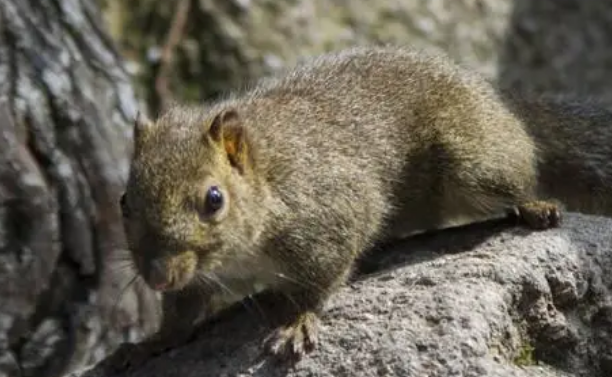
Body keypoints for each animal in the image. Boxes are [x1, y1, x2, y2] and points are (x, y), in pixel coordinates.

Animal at [105, 45, 612, 368]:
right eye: (124, 200)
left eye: (214, 200)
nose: (157, 275)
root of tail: (496, 96)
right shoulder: (196, 280)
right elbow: (182, 313)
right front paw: (152, 342)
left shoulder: (332, 215)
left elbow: (318, 283)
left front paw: (297, 321)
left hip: (474, 162)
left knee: (518, 173)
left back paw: (535, 205)